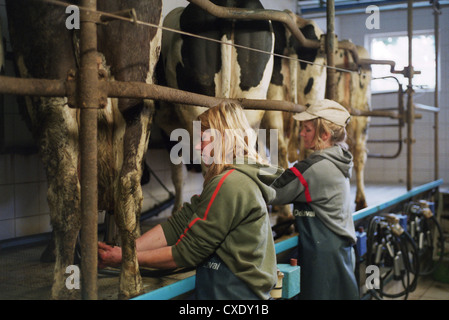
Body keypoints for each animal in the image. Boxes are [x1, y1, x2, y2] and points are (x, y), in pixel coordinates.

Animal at [5, 0, 163, 300]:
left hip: (52, 78)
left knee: (69, 190)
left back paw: (66, 286)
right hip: (134, 89)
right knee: (124, 183)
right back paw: (130, 282)